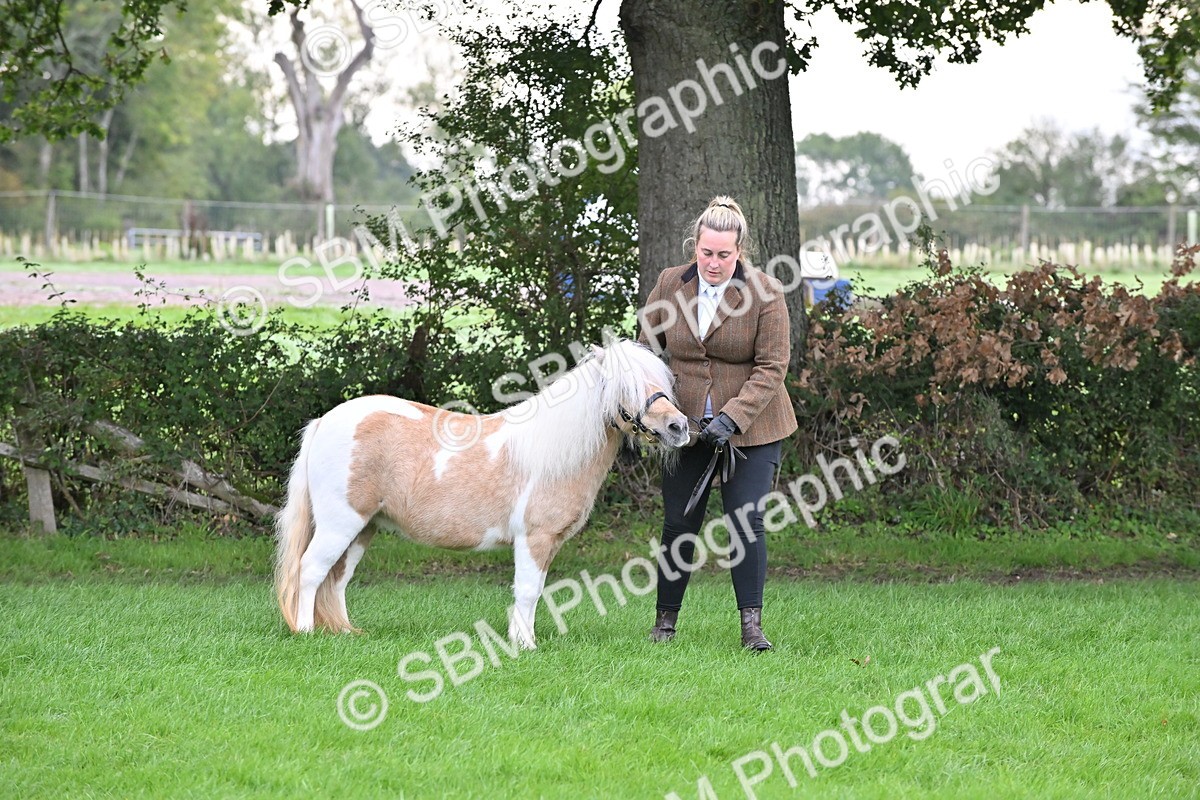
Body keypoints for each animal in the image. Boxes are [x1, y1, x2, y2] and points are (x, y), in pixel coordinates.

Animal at [274, 338, 689, 648]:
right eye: (627, 386)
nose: (679, 427)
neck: (552, 451)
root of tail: (326, 420)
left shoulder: (547, 543)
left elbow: (534, 590)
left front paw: (521, 640)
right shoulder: (534, 538)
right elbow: (528, 590)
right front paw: (526, 647)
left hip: (364, 528)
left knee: (337, 579)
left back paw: (344, 632)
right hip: (340, 523)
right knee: (311, 570)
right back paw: (307, 632)